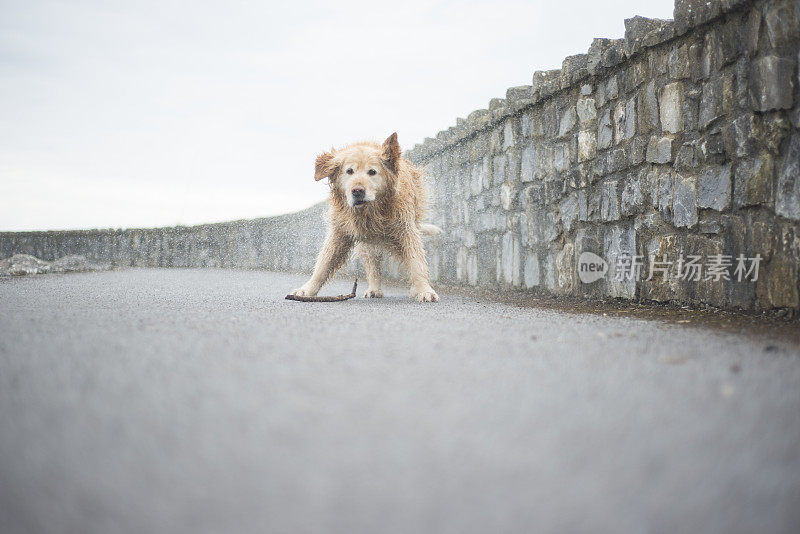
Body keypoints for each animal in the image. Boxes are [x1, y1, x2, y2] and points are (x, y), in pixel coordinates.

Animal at [294, 132, 440, 304]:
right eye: (349, 171)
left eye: (372, 172)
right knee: (373, 266)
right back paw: (374, 289)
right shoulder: (340, 231)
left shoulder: (406, 229)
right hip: (370, 244)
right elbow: (324, 264)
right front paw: (307, 290)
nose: (357, 191)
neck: (369, 211)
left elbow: (416, 262)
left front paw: (424, 290)